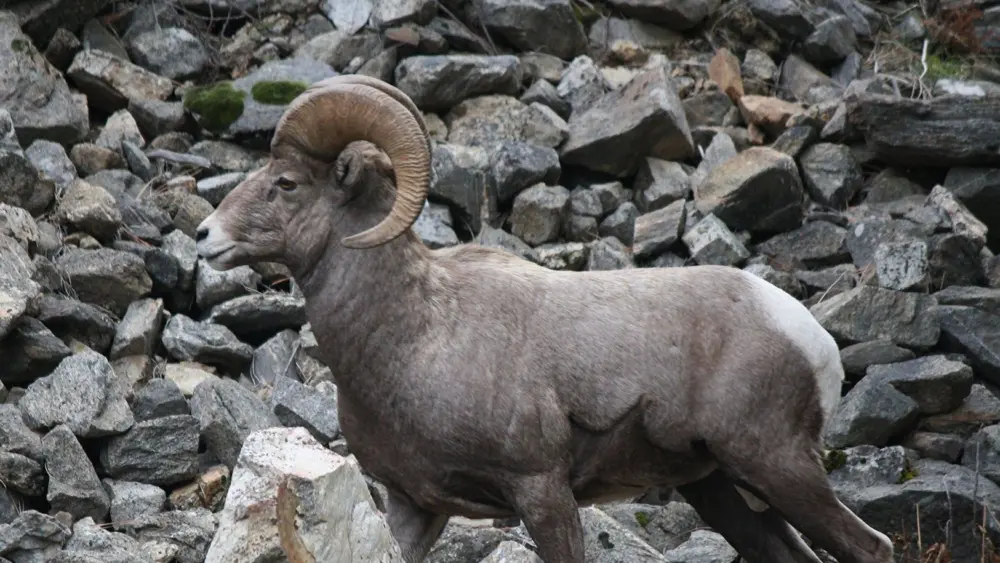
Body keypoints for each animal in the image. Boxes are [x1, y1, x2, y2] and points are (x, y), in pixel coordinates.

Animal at [194, 74, 895, 563]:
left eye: (286, 183)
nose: (204, 236)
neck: (415, 335)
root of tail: (811, 338)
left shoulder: (541, 492)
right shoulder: (414, 507)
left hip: (779, 466)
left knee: (871, 547)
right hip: (723, 489)